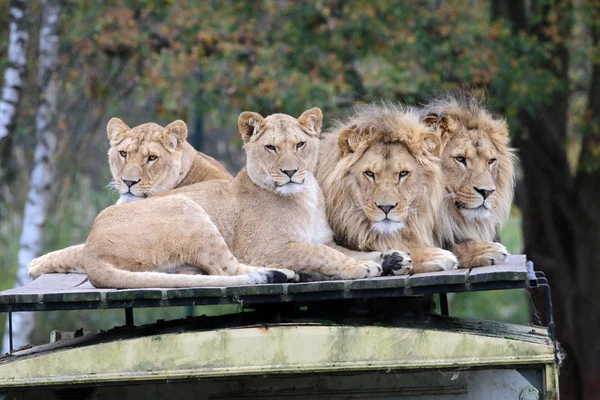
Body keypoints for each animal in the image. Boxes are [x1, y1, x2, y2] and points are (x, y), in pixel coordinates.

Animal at [79, 106, 410, 288]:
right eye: (271, 148)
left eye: (300, 145)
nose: (290, 172)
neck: (305, 195)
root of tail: (91, 250)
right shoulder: (266, 248)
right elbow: (320, 253)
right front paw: (362, 267)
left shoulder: (325, 239)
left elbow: (344, 249)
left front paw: (391, 258)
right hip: (187, 207)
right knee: (227, 268)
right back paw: (278, 274)